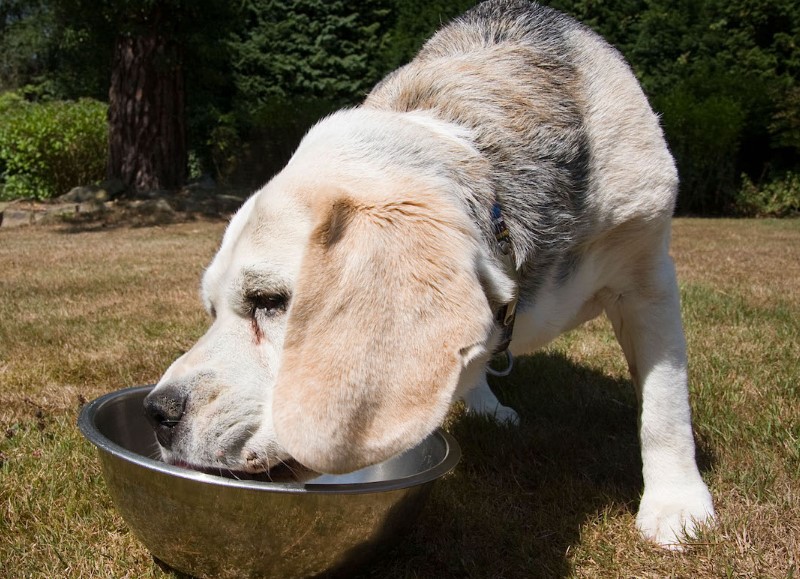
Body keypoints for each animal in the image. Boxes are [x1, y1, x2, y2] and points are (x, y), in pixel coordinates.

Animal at [144, 0, 712, 548]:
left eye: (269, 300)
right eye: (212, 310)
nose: (157, 412)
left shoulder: (648, 276)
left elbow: (664, 406)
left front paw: (677, 505)